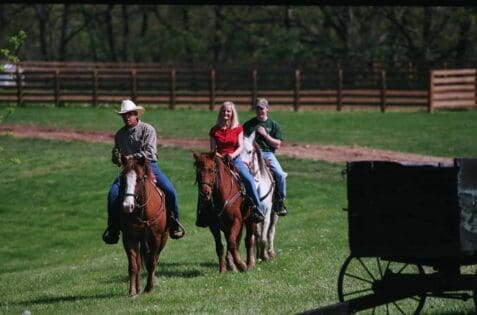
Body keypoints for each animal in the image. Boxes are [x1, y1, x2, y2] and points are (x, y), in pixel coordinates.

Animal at [118, 157, 167, 298]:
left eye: (139, 179)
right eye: (123, 178)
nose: (127, 206)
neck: (142, 213)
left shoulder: (156, 238)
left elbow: (151, 263)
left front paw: (149, 288)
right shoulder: (129, 238)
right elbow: (134, 265)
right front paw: (133, 291)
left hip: (162, 239)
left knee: (155, 259)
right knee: (139, 262)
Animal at [240, 131, 278, 262]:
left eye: (250, 151)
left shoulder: (266, 211)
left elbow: (264, 236)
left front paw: (265, 256)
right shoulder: (253, 213)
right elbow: (257, 234)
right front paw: (258, 256)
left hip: (275, 213)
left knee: (271, 231)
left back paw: (271, 252)